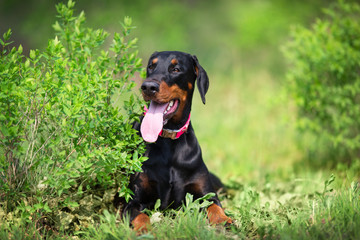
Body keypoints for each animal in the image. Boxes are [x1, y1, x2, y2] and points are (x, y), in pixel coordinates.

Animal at [122, 50, 232, 232]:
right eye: (151, 66)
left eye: (176, 69)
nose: (148, 87)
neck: (169, 141)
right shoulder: (134, 200)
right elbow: (140, 216)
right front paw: (145, 230)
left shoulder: (206, 193)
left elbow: (215, 206)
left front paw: (224, 220)